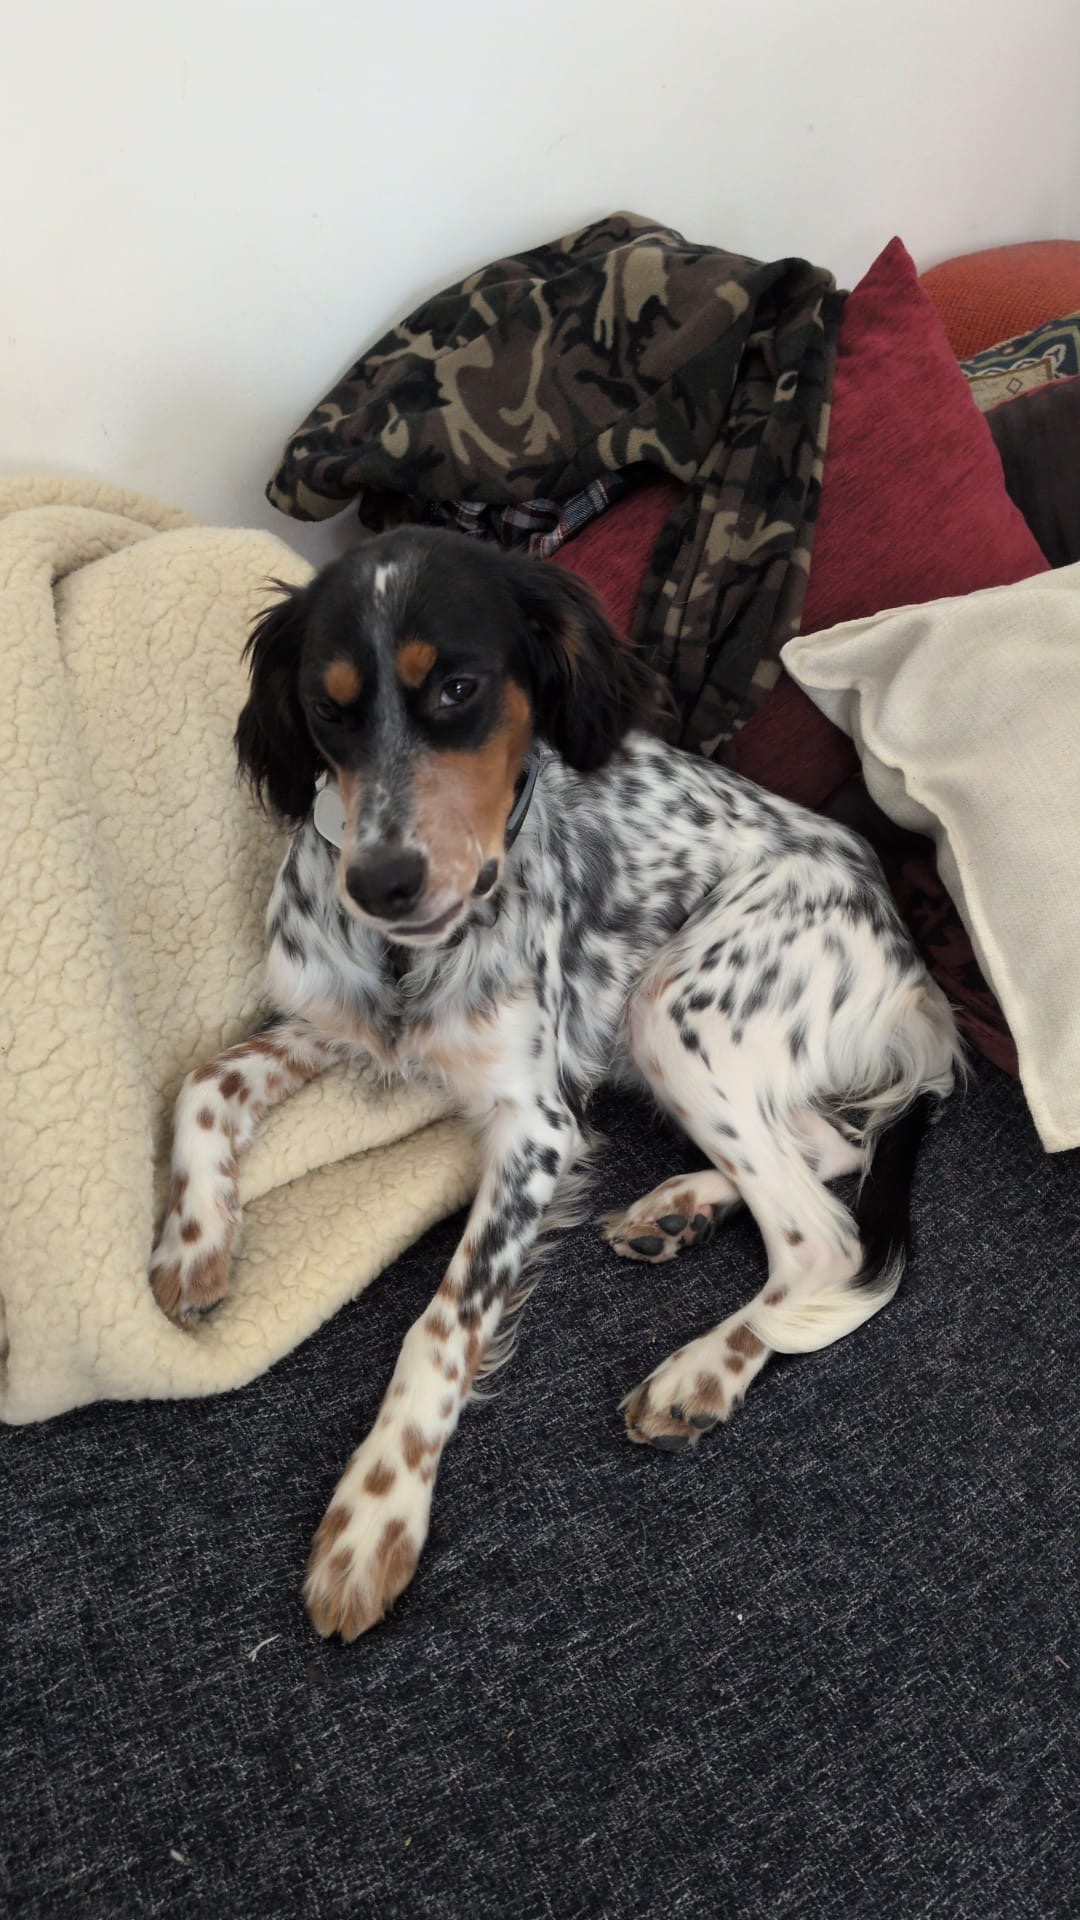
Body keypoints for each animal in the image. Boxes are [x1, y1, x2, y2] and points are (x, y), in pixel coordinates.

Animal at [150, 527, 962, 1641]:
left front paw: (374, 1513)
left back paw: (703, 1366)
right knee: (829, 1145)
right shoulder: (328, 1024)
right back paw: (678, 1209)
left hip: (672, 1005)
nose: (382, 883)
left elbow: (440, 1324)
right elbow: (201, 1081)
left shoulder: (535, 1128)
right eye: (327, 706)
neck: (411, 957)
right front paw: (193, 1240)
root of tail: (908, 951)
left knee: (823, 1238)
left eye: (458, 688)